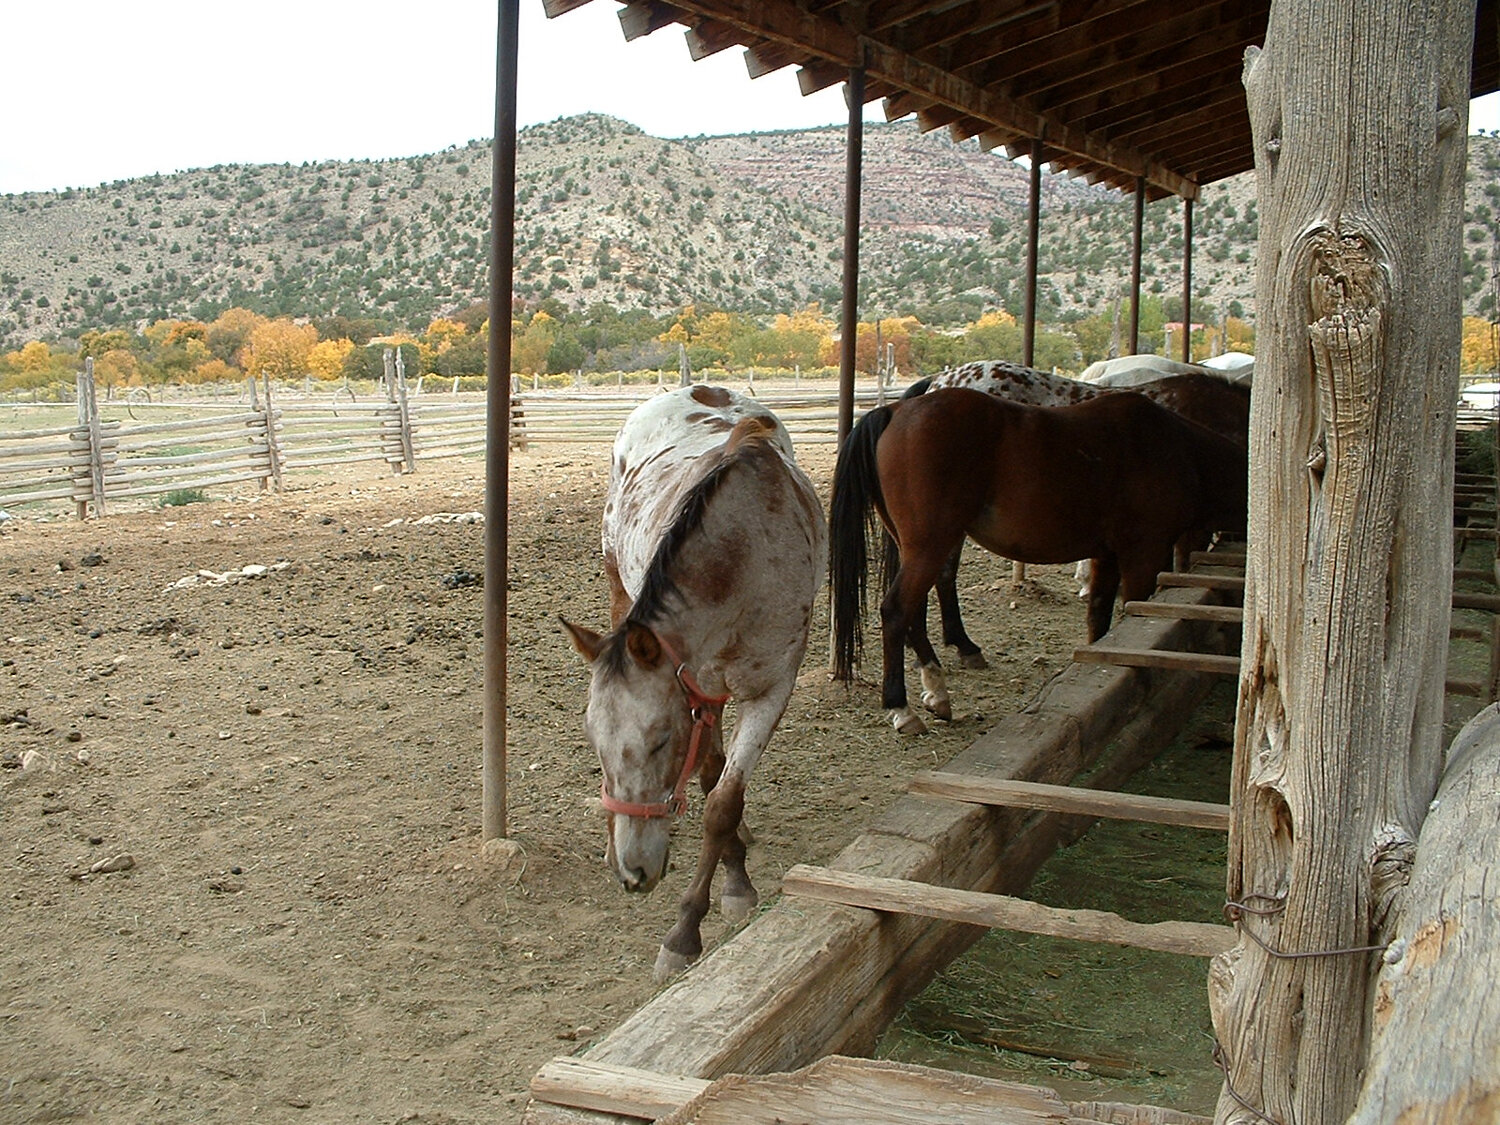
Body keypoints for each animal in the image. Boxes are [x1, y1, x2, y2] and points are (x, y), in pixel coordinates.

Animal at [561, 384, 825, 980]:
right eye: (592, 741)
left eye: (660, 741)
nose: (633, 873)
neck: (747, 551)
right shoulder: (697, 688)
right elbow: (710, 776)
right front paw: (729, 876)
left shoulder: (770, 688)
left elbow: (722, 801)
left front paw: (693, 924)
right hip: (618, 587)